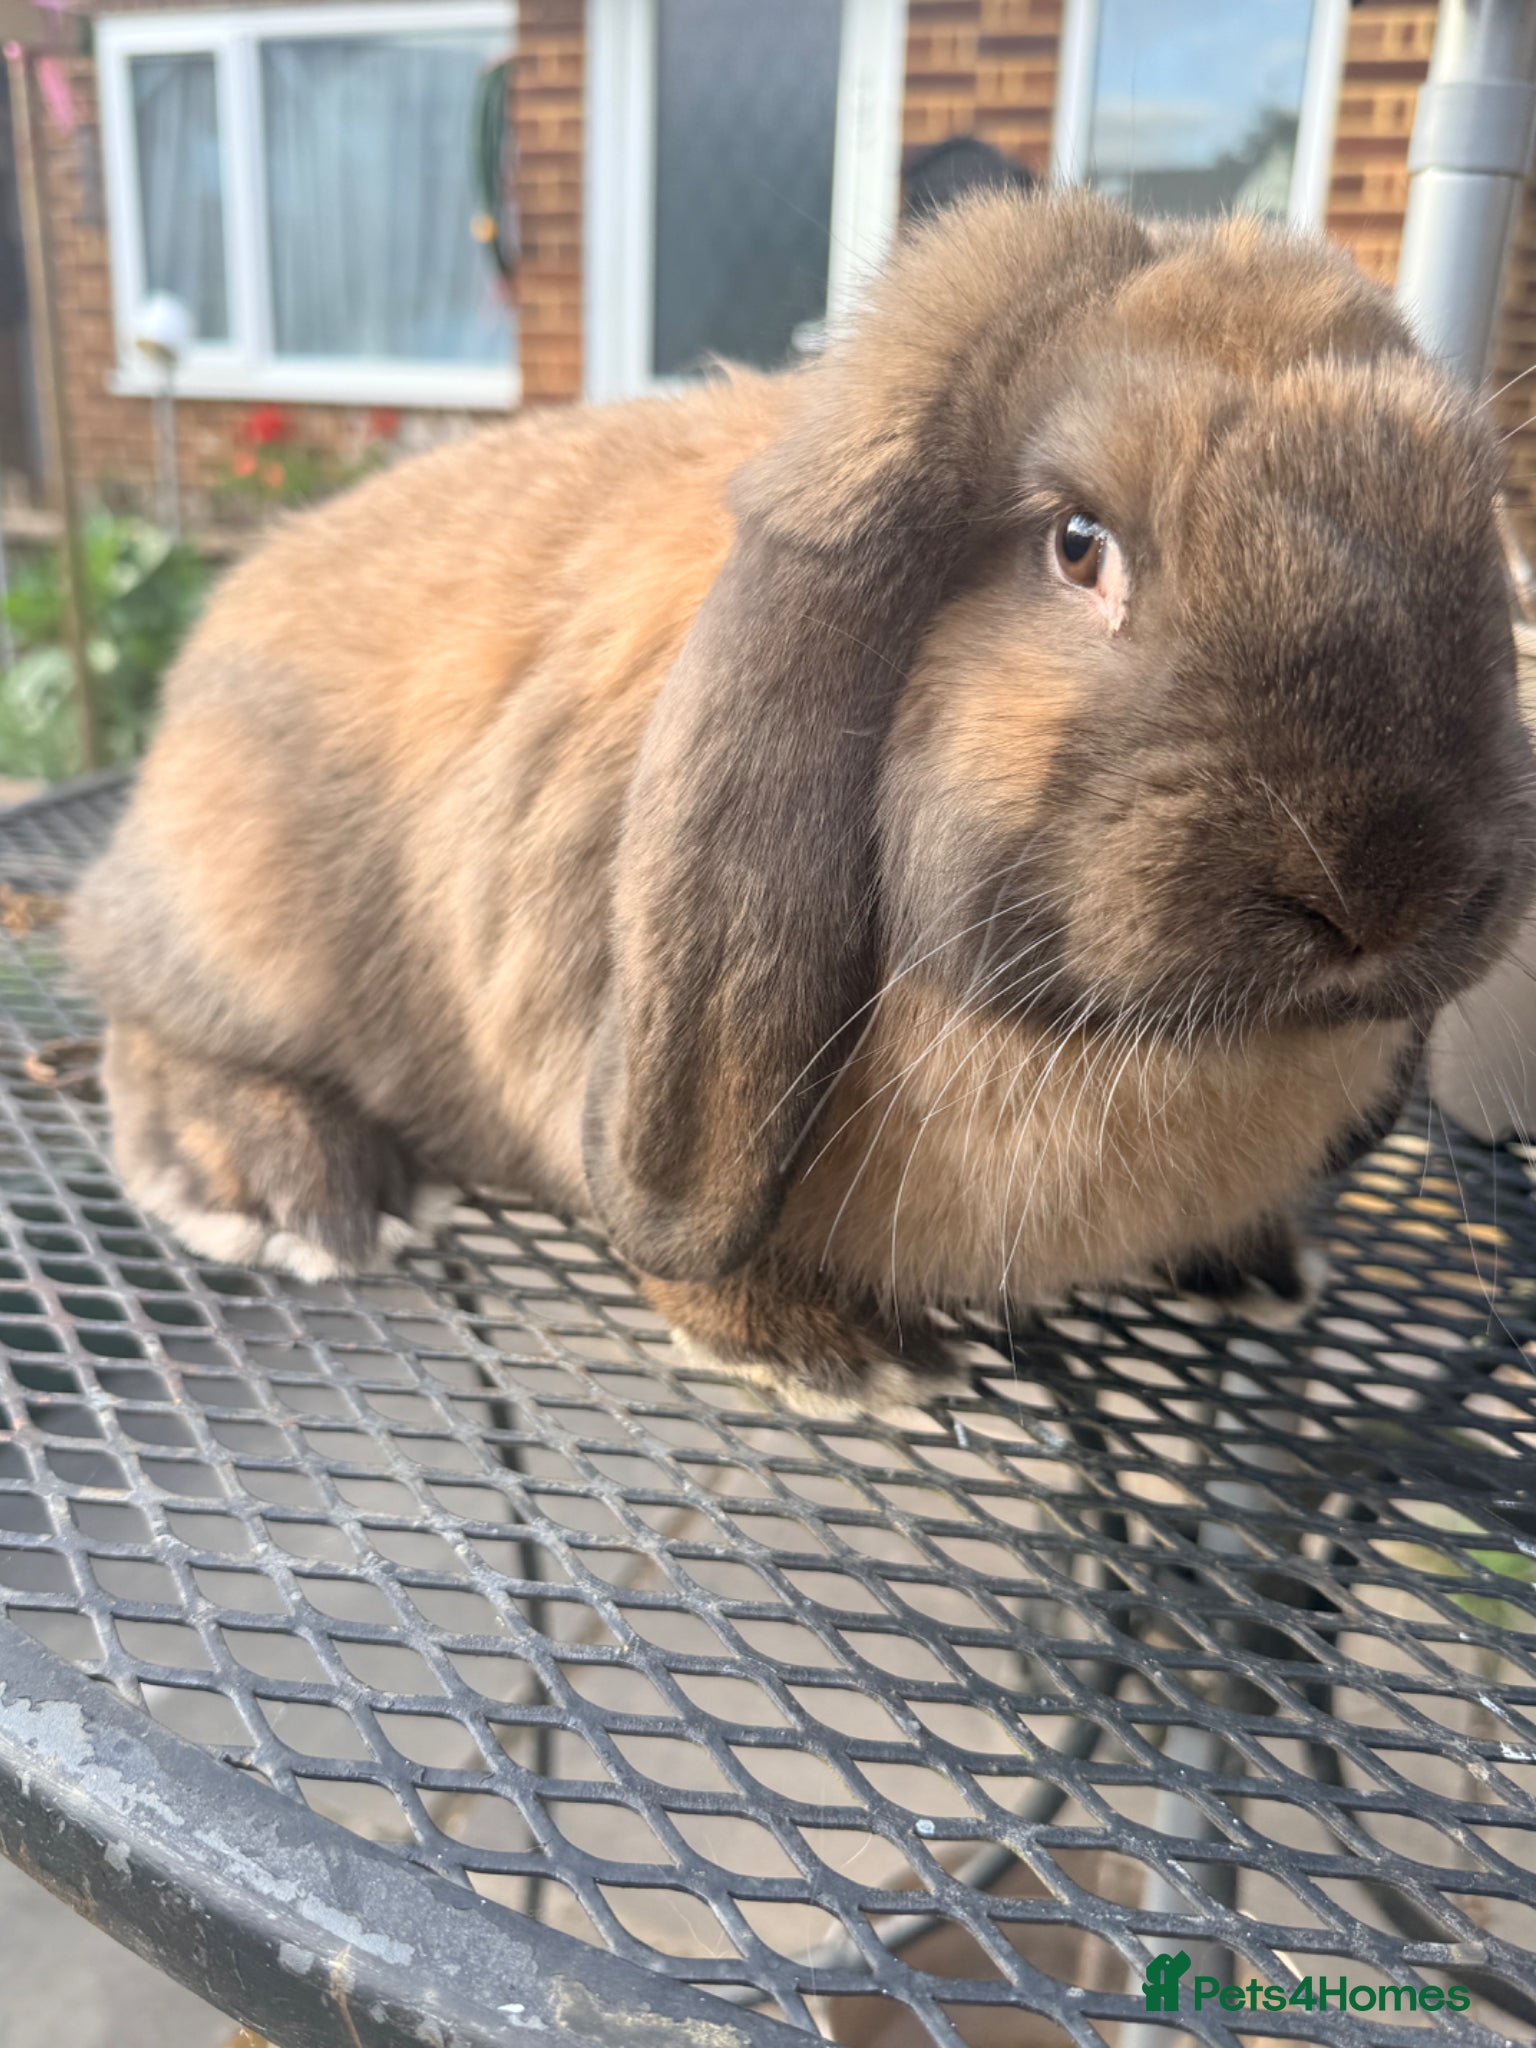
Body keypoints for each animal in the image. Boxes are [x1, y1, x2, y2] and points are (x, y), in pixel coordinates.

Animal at [70, 189, 1536, 1417]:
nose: (1384, 892)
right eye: (1078, 545)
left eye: (1476, 534)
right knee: (145, 1022)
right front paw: (827, 1353)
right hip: (242, 927)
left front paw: (1261, 1265)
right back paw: (284, 1189)